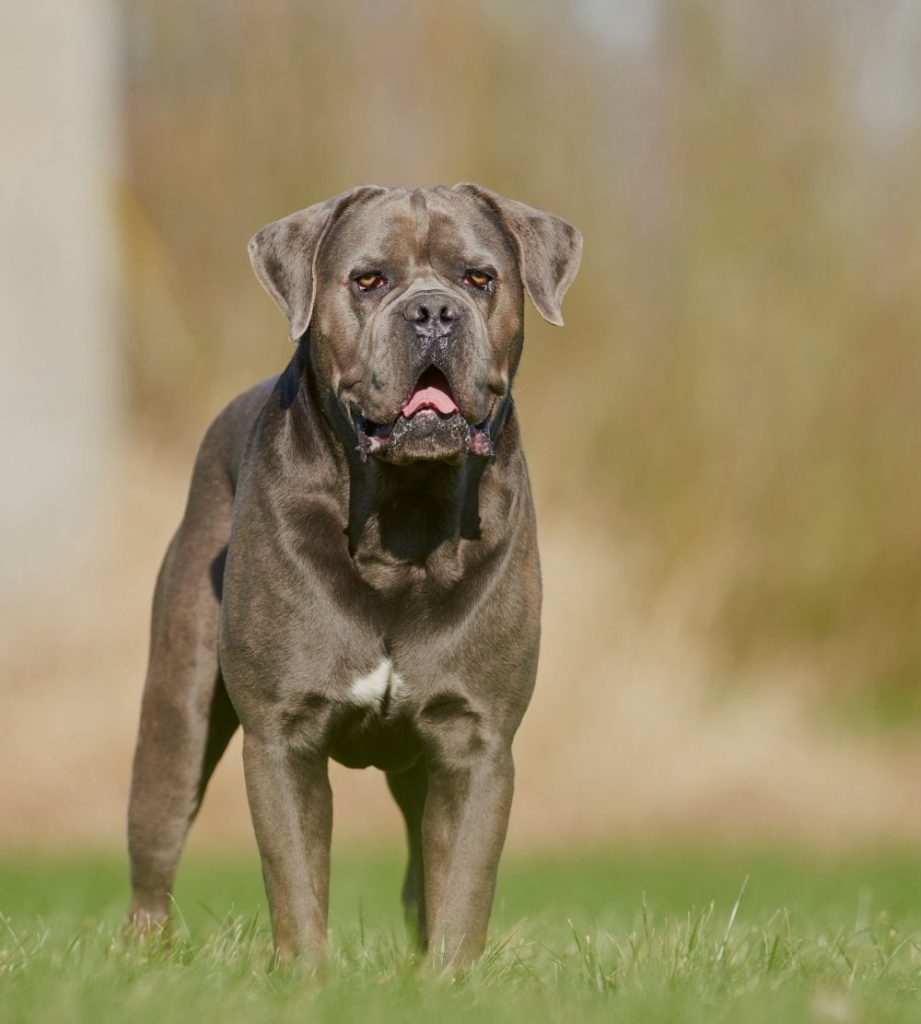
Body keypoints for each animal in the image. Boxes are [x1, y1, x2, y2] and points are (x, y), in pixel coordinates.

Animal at [126, 186, 581, 966]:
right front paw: (306, 976)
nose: (432, 314)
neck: (402, 518)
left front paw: (448, 978)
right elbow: (297, 883)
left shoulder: (475, 740)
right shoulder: (284, 735)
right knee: (155, 849)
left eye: (478, 278)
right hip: (177, 714)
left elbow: (461, 886)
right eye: (368, 280)